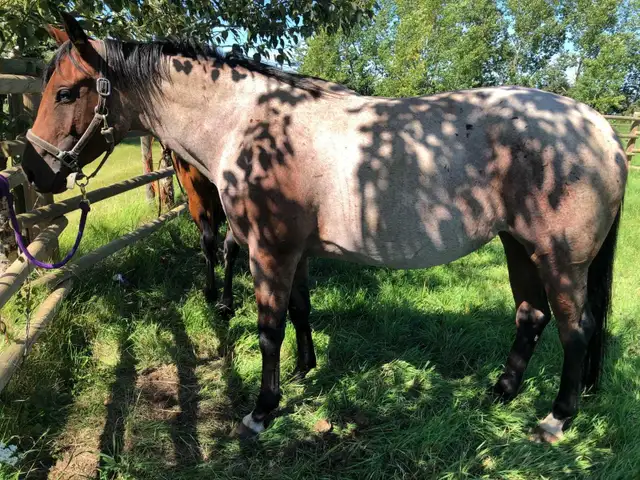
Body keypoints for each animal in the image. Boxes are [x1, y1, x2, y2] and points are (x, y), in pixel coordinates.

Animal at [21, 14, 627, 443]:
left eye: (67, 93)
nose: (32, 170)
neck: (248, 124)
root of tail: (599, 128)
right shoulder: (294, 252)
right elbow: (300, 310)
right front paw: (304, 372)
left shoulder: (269, 250)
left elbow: (269, 327)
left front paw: (262, 411)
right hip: (518, 247)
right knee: (531, 317)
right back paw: (499, 393)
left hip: (559, 259)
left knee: (576, 330)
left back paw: (556, 419)